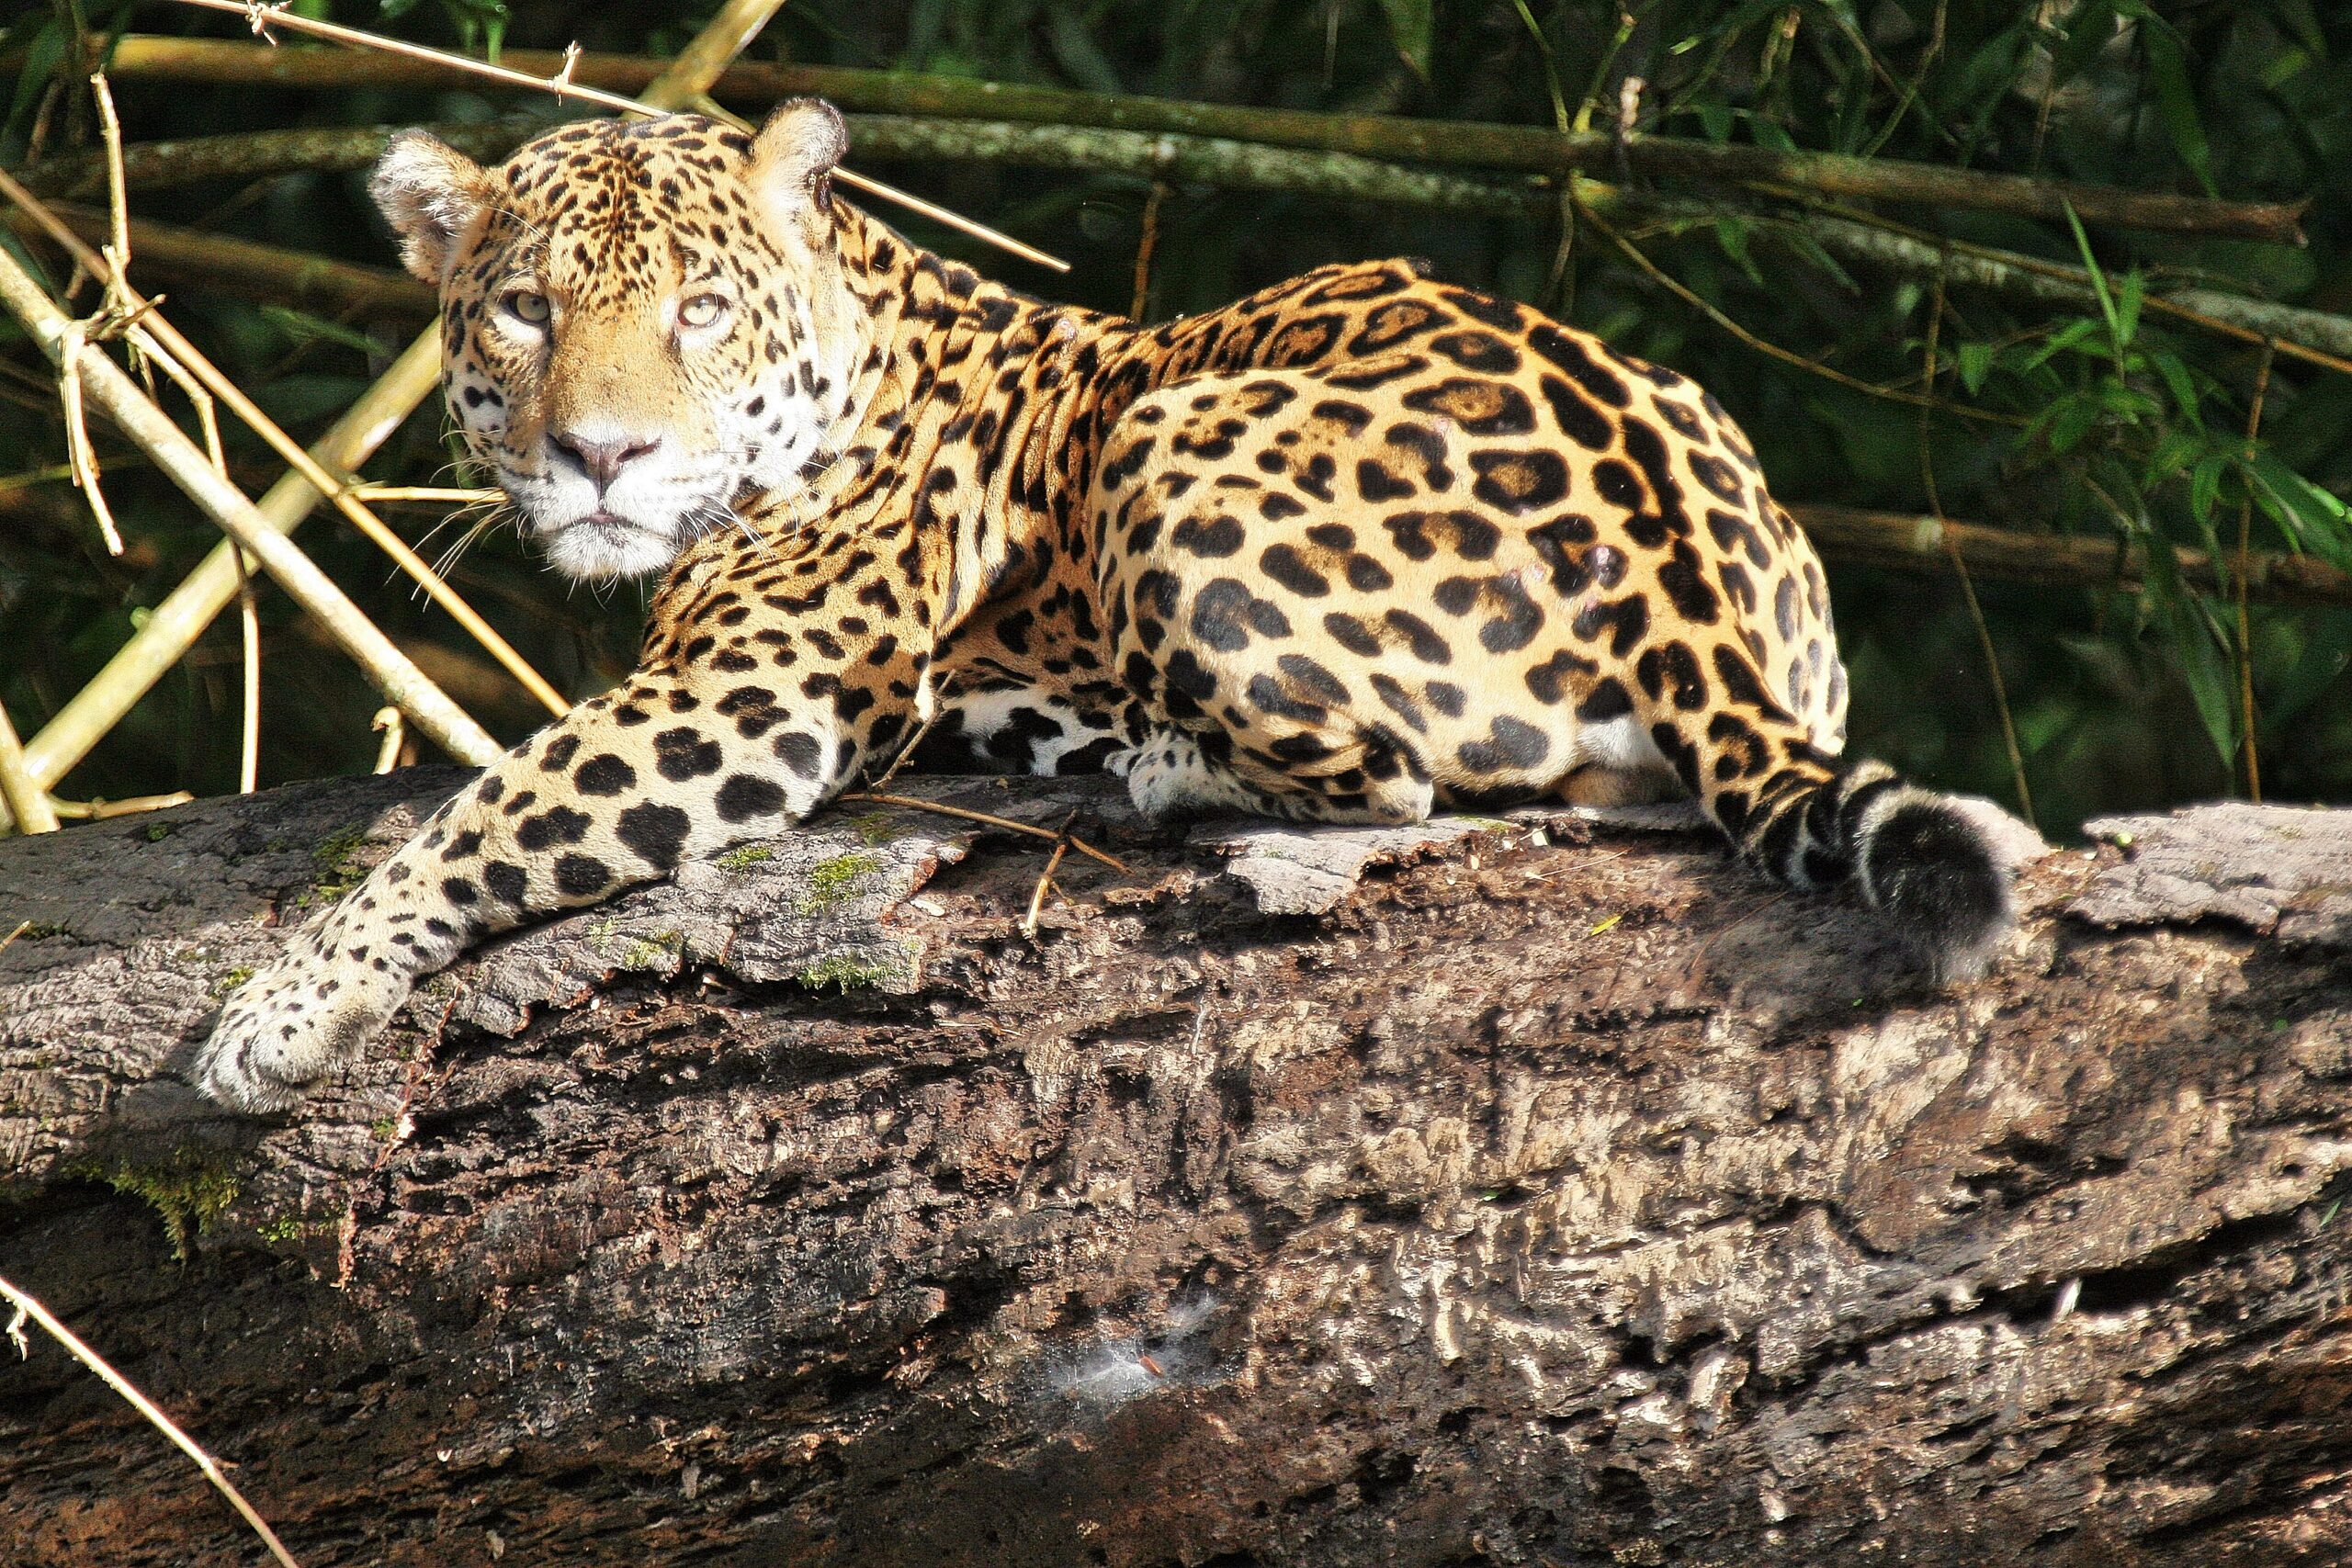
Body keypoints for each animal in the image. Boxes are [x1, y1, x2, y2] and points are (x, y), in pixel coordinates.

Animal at [194, 99, 2014, 1112]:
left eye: (700, 310)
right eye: (522, 310)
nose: (599, 454)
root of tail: (1689, 581)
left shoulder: (756, 686)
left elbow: (485, 813)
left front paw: (275, 1009)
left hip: (1164, 434)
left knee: (1403, 774)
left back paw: (1159, 761)